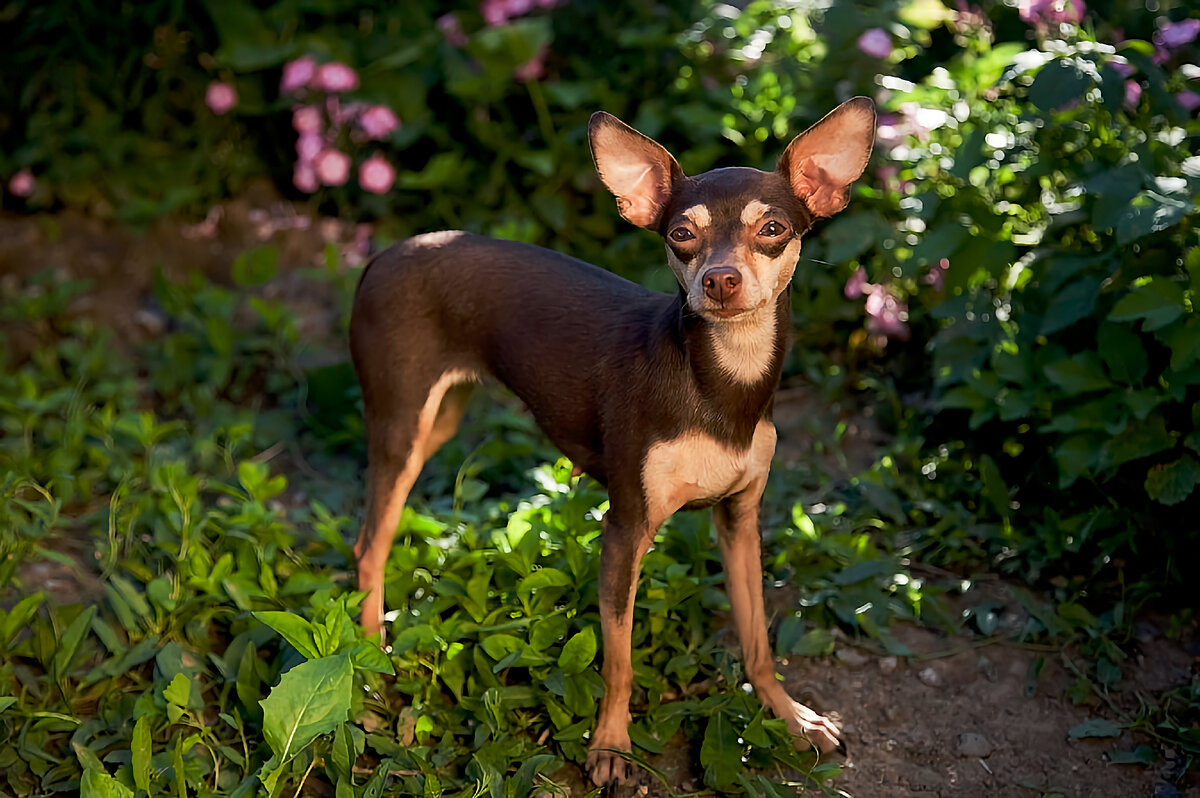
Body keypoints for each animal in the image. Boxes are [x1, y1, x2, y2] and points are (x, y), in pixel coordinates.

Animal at [348, 94, 873, 782]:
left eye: (773, 229)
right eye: (682, 235)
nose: (721, 280)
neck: (719, 383)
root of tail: (383, 256)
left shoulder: (740, 521)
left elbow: (757, 640)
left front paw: (790, 717)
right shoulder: (623, 532)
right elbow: (618, 661)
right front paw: (610, 746)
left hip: (440, 420)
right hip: (400, 430)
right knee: (369, 545)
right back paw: (366, 660)